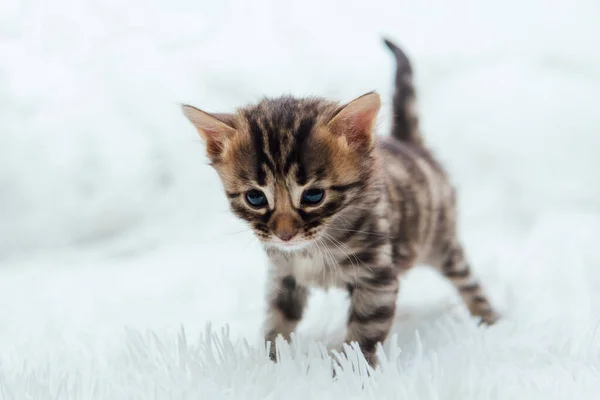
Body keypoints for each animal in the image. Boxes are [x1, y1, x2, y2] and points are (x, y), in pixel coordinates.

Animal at [180, 39, 500, 368]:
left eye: (313, 196)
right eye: (255, 197)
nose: (285, 235)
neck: (313, 249)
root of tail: (410, 145)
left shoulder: (377, 277)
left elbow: (364, 333)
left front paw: (351, 373)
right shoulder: (284, 274)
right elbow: (278, 322)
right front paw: (270, 365)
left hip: (441, 243)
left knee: (468, 281)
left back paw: (490, 321)